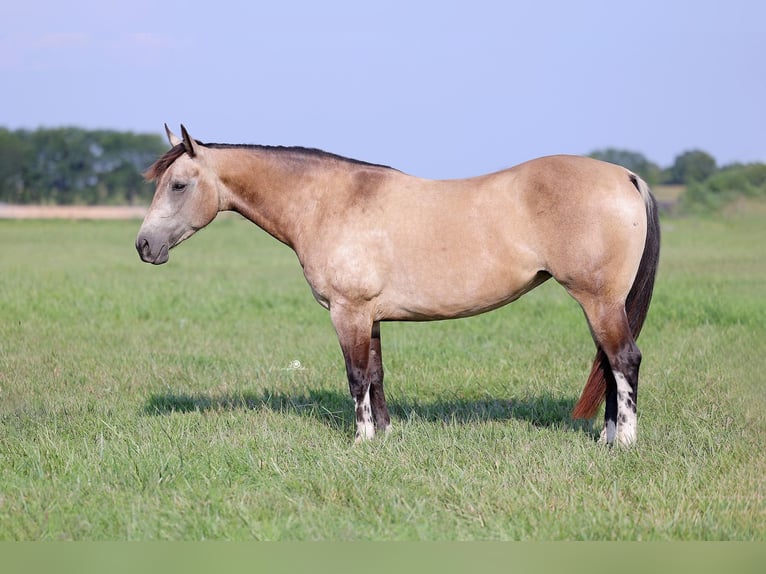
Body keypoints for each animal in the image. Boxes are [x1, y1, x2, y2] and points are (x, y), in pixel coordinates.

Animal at [136, 126, 660, 448]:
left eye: (178, 185)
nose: (144, 245)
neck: (330, 202)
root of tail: (627, 175)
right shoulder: (369, 316)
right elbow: (376, 374)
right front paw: (386, 435)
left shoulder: (347, 312)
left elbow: (355, 376)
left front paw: (362, 440)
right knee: (609, 364)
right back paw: (607, 436)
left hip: (598, 300)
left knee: (624, 360)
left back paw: (624, 443)